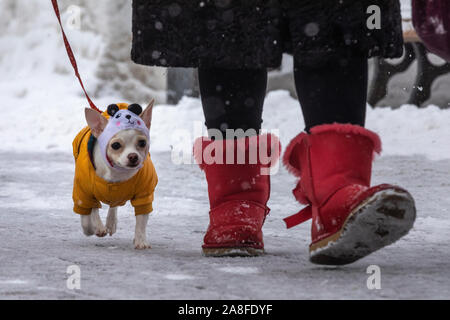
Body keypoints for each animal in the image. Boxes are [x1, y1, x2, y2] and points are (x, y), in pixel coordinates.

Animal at [72, 101, 158, 249]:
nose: (133, 156)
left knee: (114, 205)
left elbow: (141, 221)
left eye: (142, 143)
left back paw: (111, 223)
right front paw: (92, 228)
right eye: (116, 145)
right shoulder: (83, 193)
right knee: (95, 207)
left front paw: (140, 240)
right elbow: (87, 215)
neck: (117, 172)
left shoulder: (144, 195)